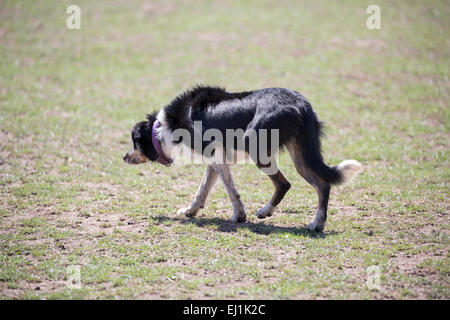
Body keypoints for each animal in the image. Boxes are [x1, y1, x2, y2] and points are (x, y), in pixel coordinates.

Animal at [124, 85, 362, 230]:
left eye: (134, 142)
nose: (124, 157)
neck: (165, 126)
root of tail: (301, 104)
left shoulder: (217, 158)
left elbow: (231, 190)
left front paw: (238, 216)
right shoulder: (215, 159)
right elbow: (202, 189)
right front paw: (190, 211)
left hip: (257, 148)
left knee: (285, 184)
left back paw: (287, 216)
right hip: (301, 155)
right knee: (321, 185)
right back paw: (314, 223)